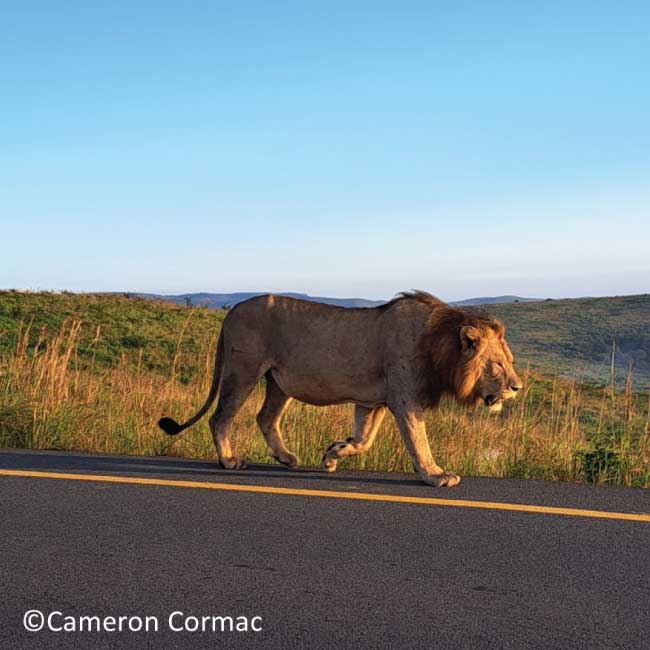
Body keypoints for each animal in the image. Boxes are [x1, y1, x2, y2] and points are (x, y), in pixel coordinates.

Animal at [158, 290, 520, 486]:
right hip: (243, 371)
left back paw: (287, 458)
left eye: (510, 361)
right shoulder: (405, 399)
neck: (439, 343)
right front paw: (435, 474)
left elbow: (364, 440)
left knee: (265, 418)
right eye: (499, 364)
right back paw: (230, 460)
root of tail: (232, 310)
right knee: (220, 417)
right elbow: (419, 442)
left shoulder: (373, 402)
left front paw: (333, 454)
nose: (517, 387)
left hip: (279, 382)